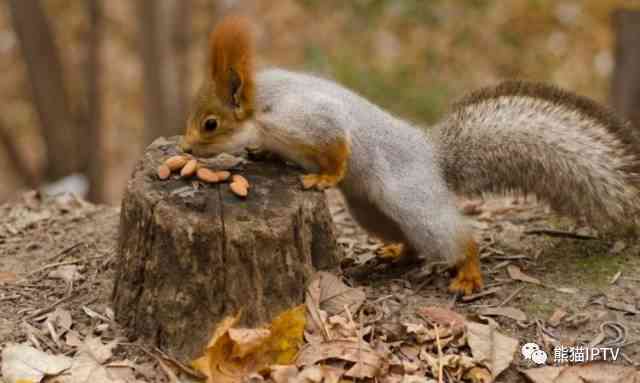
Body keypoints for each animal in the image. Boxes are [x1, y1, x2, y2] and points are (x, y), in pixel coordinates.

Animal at [180, 15, 640, 296]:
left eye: (210, 124)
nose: (185, 147)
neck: (262, 104)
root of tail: (433, 158)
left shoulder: (305, 118)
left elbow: (339, 145)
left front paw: (325, 177)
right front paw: (261, 151)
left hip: (412, 202)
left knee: (456, 238)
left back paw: (468, 273)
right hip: (370, 211)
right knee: (411, 243)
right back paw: (396, 254)